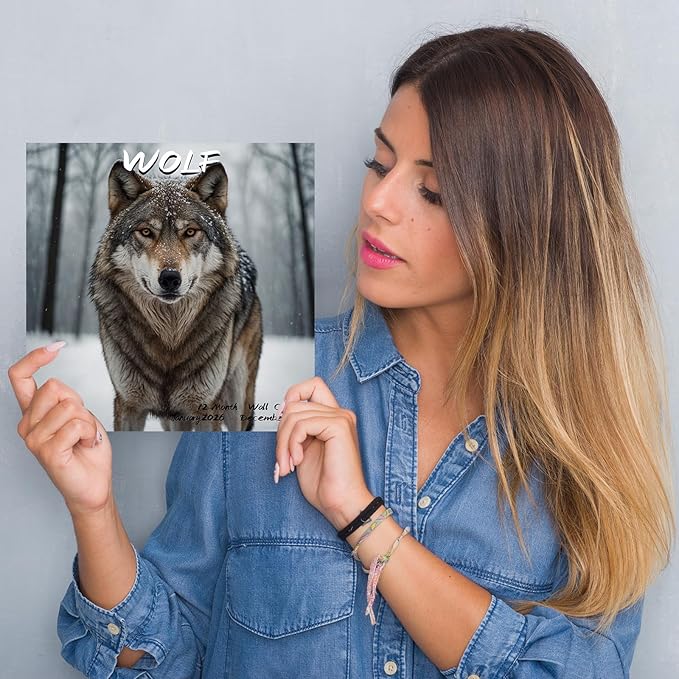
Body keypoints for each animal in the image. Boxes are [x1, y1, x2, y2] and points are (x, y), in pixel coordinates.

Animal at [89, 160, 263, 432]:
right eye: (146, 232)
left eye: (190, 232)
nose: (170, 278)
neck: (169, 338)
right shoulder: (128, 404)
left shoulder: (206, 406)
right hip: (172, 419)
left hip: (237, 403)